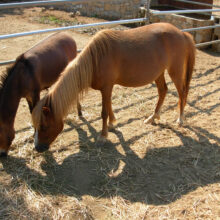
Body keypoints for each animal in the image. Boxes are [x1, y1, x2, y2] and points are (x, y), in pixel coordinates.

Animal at [31, 23, 195, 152]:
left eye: (43, 126)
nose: (37, 148)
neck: (95, 60)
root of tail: (182, 33)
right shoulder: (107, 88)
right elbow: (109, 106)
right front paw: (112, 124)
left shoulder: (106, 87)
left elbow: (104, 112)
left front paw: (103, 136)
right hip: (159, 73)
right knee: (163, 91)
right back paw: (152, 118)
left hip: (175, 70)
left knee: (182, 92)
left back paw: (180, 119)